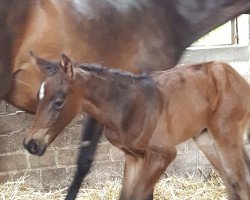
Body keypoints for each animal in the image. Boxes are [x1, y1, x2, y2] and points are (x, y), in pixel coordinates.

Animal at [24, 53, 250, 200]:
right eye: (38, 97)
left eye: (58, 102)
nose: (30, 144)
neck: (126, 106)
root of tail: (237, 77)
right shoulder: (134, 157)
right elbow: (126, 195)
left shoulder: (163, 154)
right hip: (206, 138)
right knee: (232, 181)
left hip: (226, 134)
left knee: (240, 182)